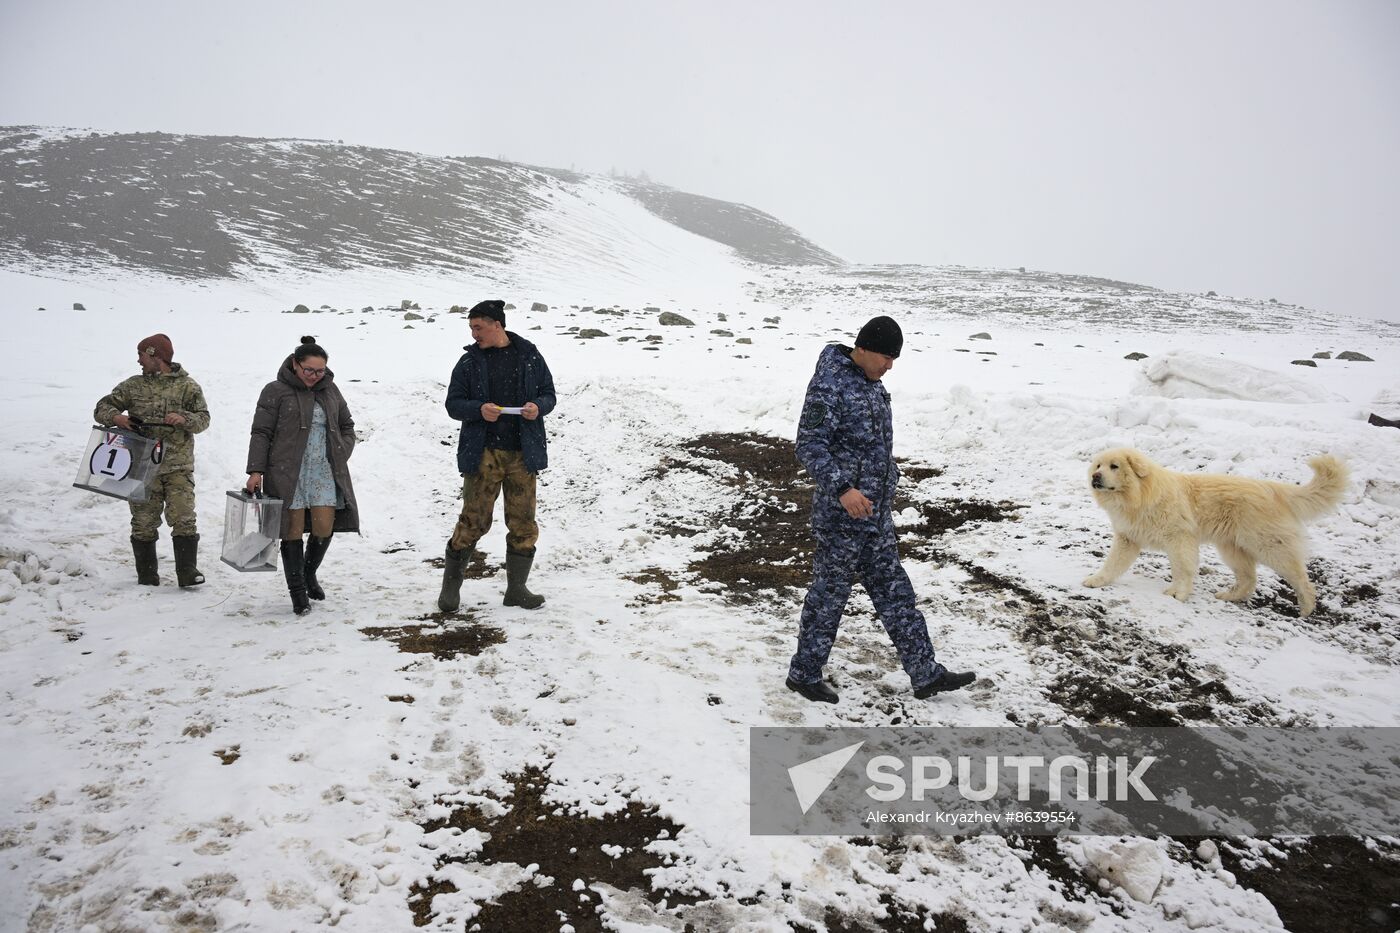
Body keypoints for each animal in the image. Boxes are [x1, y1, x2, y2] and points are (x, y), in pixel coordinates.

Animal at [1080, 448, 1344, 613]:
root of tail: (1272, 488)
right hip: (1233, 549)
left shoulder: (1179, 539)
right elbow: (1113, 564)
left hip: (1269, 546)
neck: (1139, 497)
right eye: (1098, 465)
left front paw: (1178, 594)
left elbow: (1183, 569)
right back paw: (1229, 597)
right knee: (1249, 579)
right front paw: (1097, 580)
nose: (1095, 476)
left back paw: (1306, 608)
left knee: (1300, 578)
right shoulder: (1128, 539)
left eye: (1114, 466)